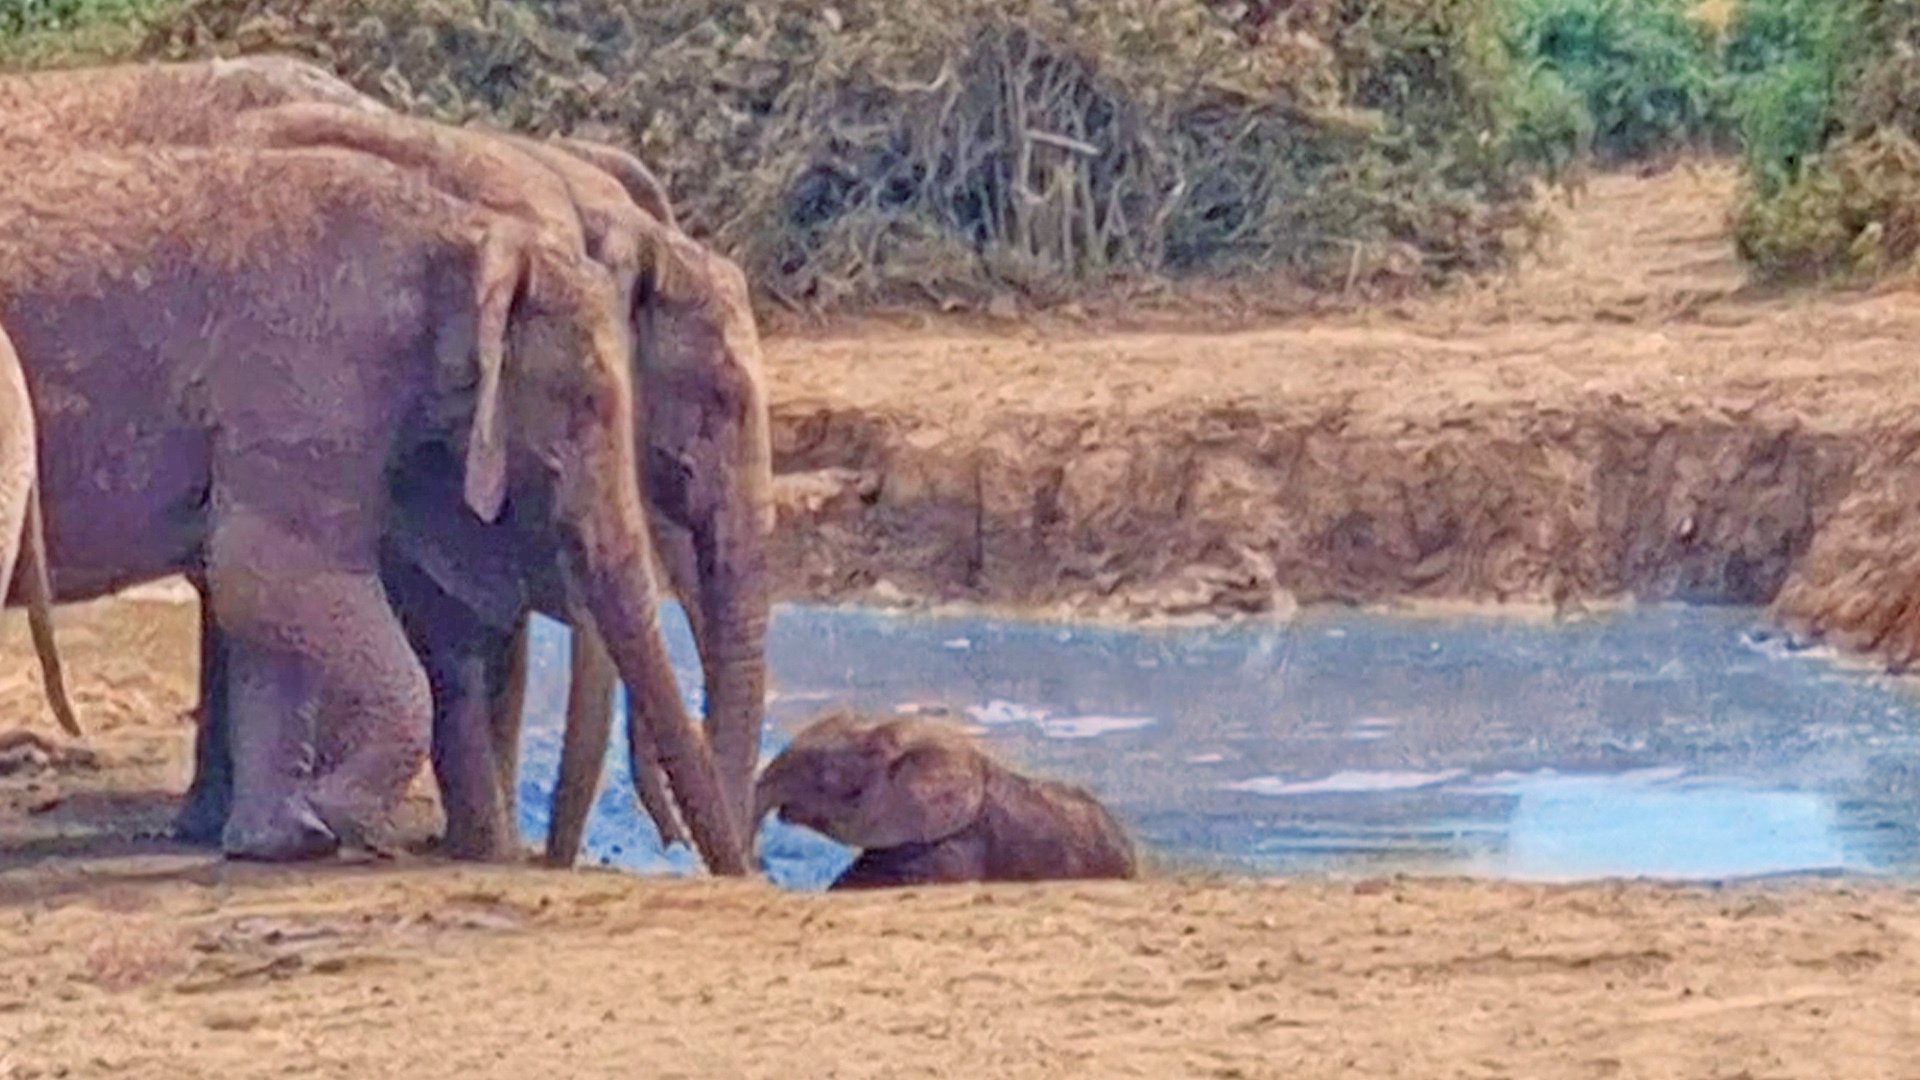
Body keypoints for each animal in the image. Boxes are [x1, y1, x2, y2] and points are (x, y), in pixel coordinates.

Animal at [0, 58, 766, 862]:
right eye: (713, 398)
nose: (695, 856)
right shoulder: (310, 370)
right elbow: (273, 574)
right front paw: (333, 821)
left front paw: (284, 838)